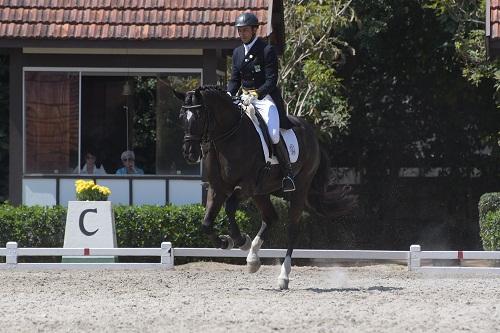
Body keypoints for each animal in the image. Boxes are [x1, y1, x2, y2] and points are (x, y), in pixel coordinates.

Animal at [176, 85, 356, 288]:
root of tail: (312, 133)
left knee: (292, 229)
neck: (229, 137)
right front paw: (225, 242)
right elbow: (206, 224)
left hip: (299, 189)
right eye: (182, 116)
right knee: (271, 217)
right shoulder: (217, 189)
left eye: (199, 116)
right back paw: (253, 260)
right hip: (261, 192)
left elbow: (229, 208)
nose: (189, 153)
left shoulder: (245, 186)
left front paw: (241, 241)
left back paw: (283, 276)